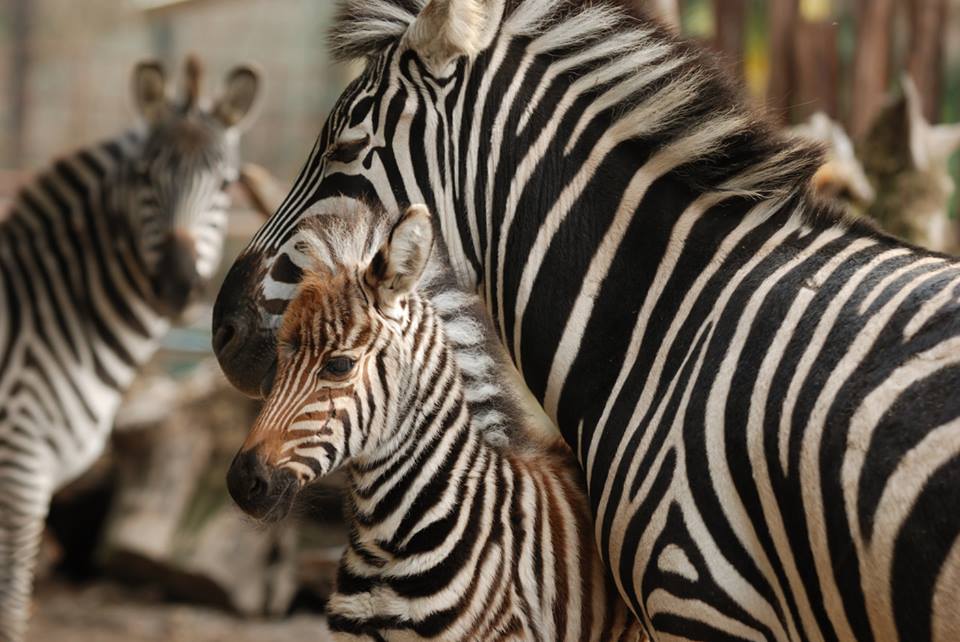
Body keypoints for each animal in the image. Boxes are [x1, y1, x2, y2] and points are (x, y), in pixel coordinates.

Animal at [0, 56, 262, 640]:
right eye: (145, 178)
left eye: (226, 184)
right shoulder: (20, 467)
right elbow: (11, 600)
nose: (178, 287)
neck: (47, 317)